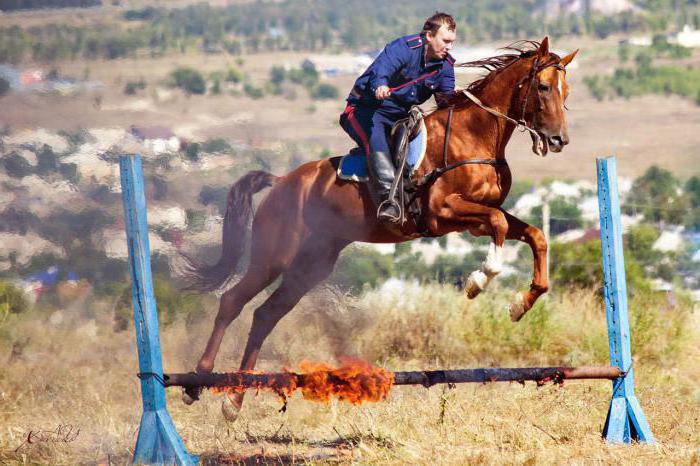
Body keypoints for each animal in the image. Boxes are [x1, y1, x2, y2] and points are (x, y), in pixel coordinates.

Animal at [182, 37, 580, 418]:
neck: (473, 135)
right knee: (232, 301)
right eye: (543, 87)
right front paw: (477, 281)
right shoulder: (444, 212)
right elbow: (498, 229)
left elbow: (536, 236)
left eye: (567, 92)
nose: (560, 140)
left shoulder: (477, 219)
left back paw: (234, 401)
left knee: (265, 315)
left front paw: (520, 304)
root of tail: (281, 183)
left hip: (312, 264)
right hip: (274, 256)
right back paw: (197, 381)